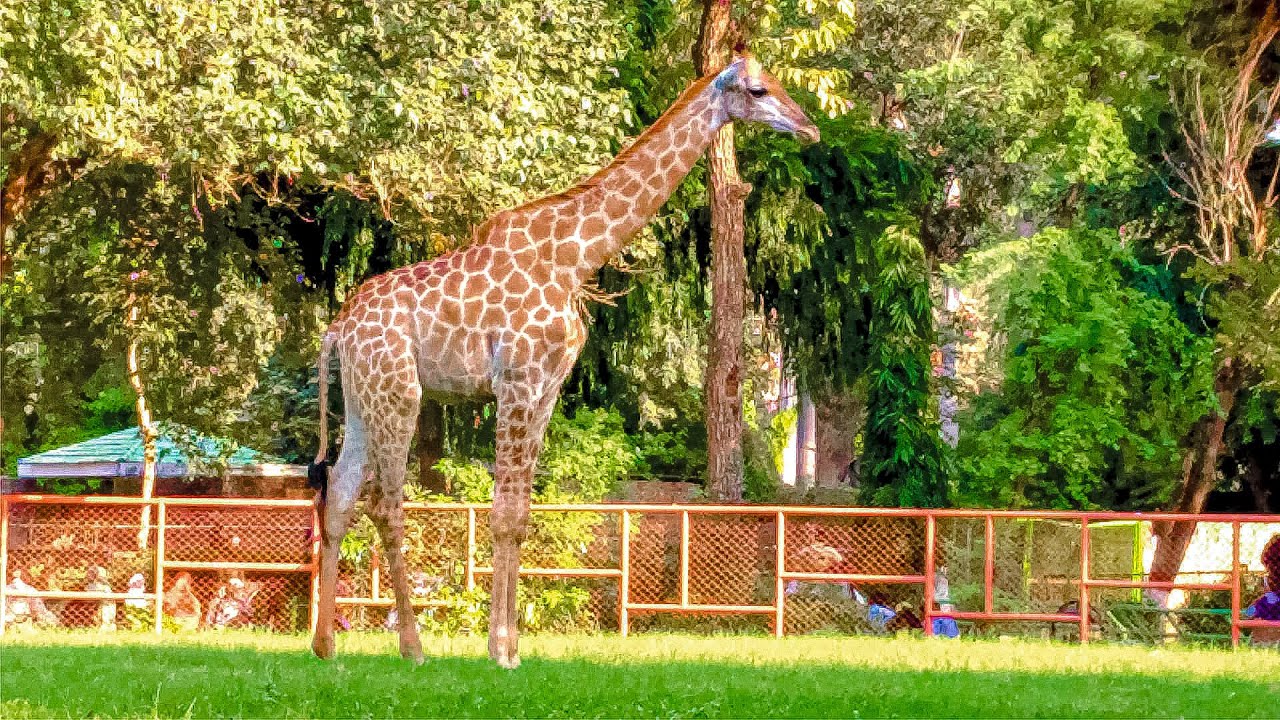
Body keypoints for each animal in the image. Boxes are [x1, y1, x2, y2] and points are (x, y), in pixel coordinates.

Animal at [308, 52, 819, 668]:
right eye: (759, 90)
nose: (810, 128)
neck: (577, 256)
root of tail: (337, 330)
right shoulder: (518, 378)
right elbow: (503, 513)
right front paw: (500, 652)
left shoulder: (548, 386)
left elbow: (522, 514)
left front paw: (509, 647)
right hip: (400, 393)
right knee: (385, 503)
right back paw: (412, 647)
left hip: (364, 397)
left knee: (338, 492)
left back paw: (325, 646)